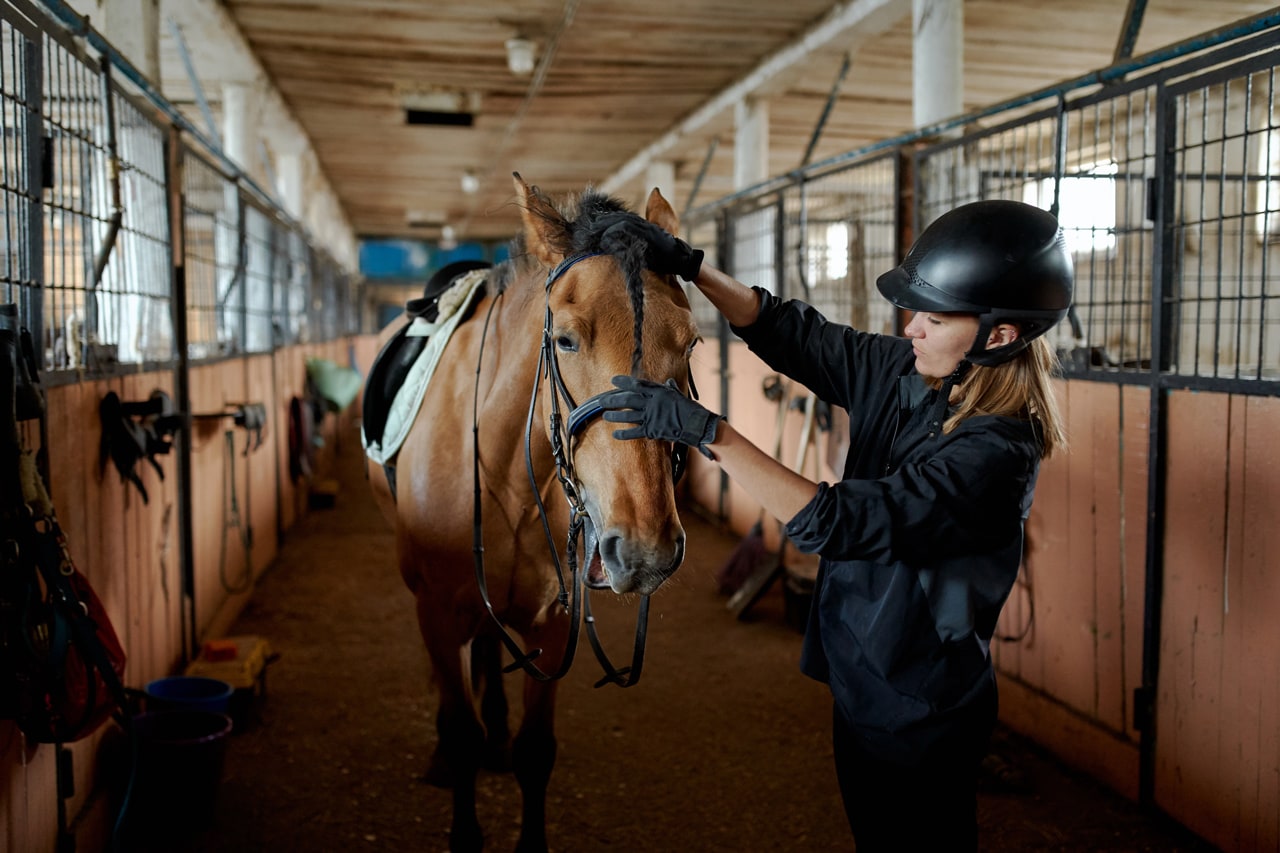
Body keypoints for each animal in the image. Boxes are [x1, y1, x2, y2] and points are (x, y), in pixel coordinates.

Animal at [366, 174, 701, 850]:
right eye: (566, 338)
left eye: (691, 344)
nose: (646, 548)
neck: (508, 474)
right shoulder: (436, 610)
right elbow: (459, 730)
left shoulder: (551, 623)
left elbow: (535, 752)